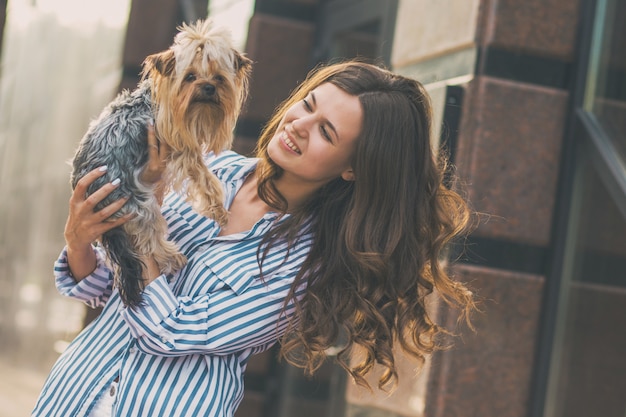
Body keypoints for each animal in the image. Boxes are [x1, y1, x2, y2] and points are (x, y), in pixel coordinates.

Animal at [70, 19, 251, 306]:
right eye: (190, 77)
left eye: (219, 78)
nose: (209, 87)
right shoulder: (180, 144)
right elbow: (205, 178)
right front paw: (219, 210)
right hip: (134, 203)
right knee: (148, 236)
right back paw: (172, 257)